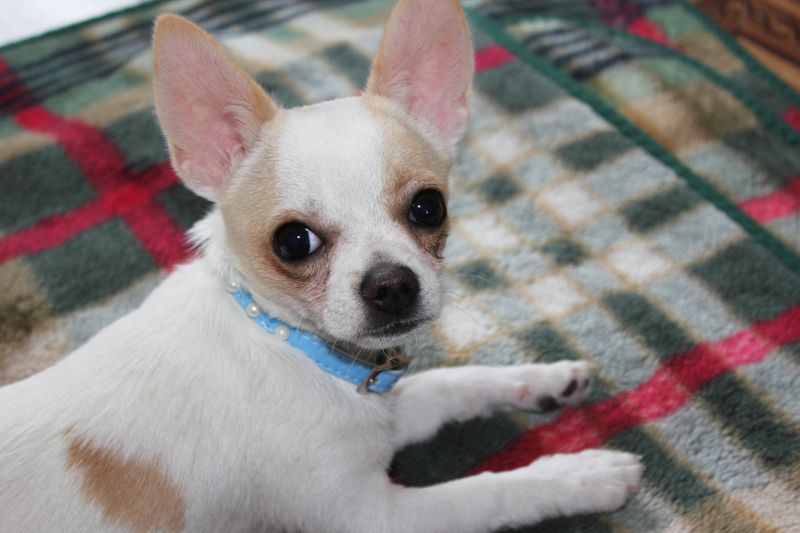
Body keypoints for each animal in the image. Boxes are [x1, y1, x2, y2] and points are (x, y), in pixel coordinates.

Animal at [0, 0, 643, 531]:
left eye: (428, 206)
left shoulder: (386, 415)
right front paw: (578, 475)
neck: (284, 339)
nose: (392, 285)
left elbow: (450, 384)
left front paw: (544, 379)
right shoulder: (374, 517)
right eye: (292, 243)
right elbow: (485, 493)